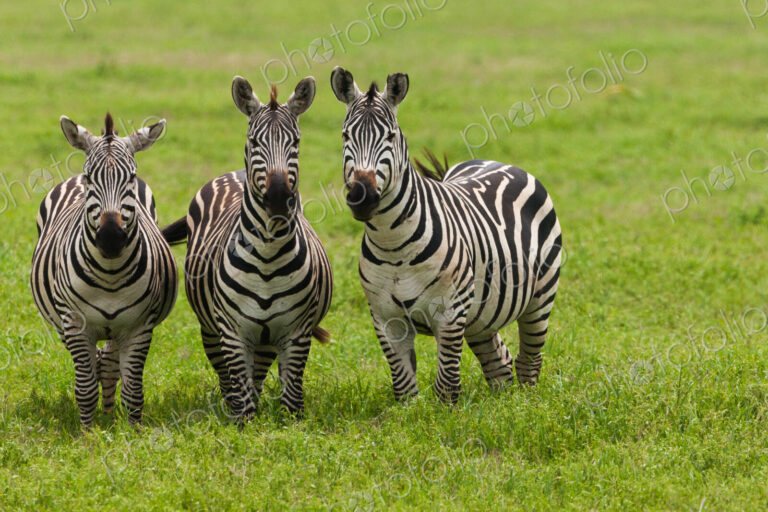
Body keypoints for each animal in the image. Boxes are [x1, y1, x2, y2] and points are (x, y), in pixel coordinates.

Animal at [30, 113, 178, 426]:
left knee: (109, 365)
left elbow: (133, 390)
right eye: (90, 178)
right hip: (61, 322)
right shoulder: (75, 325)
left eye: (131, 177)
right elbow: (85, 387)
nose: (110, 238)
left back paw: (109, 417)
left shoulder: (139, 327)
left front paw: (131, 430)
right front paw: (88, 432)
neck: (110, 274)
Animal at [162, 76, 332, 419]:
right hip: (211, 329)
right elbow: (242, 404)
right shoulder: (232, 332)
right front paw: (243, 425)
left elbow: (292, 400)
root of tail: (234, 172)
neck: (267, 256)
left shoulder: (296, 331)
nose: (278, 198)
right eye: (253, 141)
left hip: (265, 339)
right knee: (228, 378)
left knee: (258, 375)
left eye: (296, 142)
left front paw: (287, 425)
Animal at [330, 67, 562, 402]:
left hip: (539, 298)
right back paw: (505, 405)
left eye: (390, 136)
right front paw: (411, 413)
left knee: (528, 360)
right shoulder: (385, 318)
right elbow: (404, 387)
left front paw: (448, 414)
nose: (362, 196)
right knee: (500, 363)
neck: (393, 244)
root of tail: (498, 161)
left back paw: (525, 404)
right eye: (346, 136)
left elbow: (447, 387)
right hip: (482, 314)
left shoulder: (450, 312)